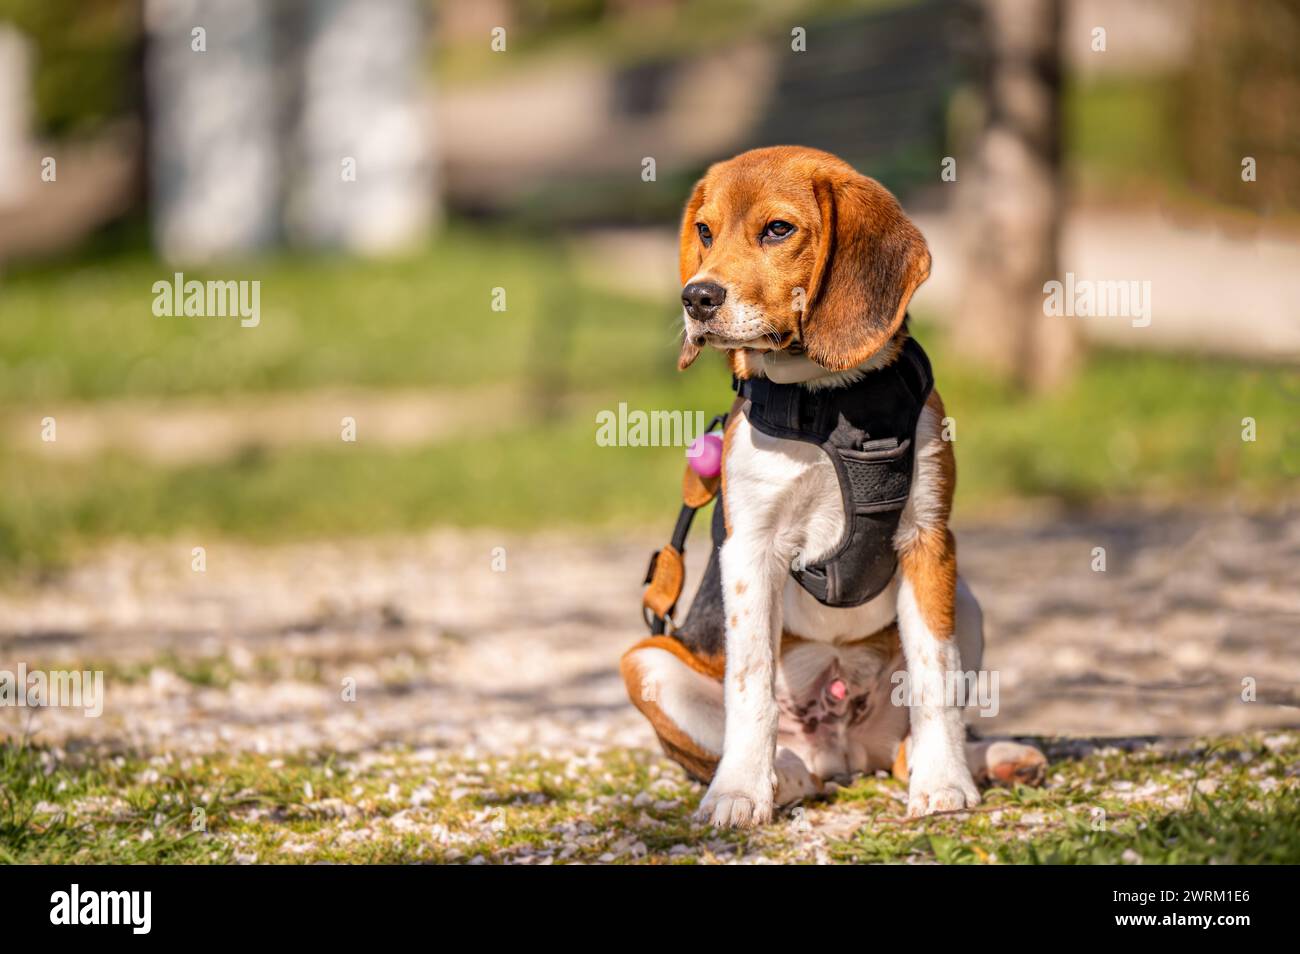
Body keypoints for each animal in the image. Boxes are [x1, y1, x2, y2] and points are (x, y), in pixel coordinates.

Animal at [618, 147, 1045, 831]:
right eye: (705, 231)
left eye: (777, 229)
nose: (696, 297)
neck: (825, 400)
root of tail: (845, 751)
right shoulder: (749, 552)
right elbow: (750, 686)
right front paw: (739, 792)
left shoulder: (929, 541)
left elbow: (936, 680)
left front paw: (946, 783)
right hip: (646, 660)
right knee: (790, 757)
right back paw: (781, 775)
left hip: (964, 597)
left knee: (906, 745)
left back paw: (988, 758)